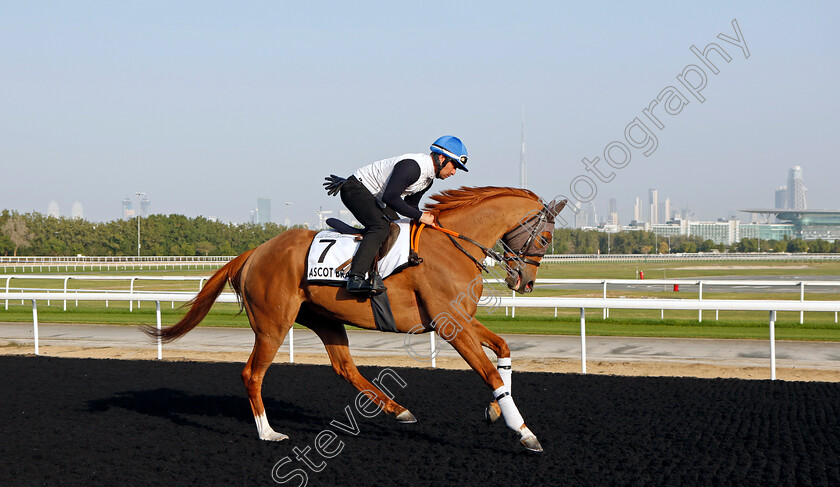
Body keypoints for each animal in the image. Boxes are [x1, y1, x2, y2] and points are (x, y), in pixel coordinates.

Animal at [144, 188, 564, 454]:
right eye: (545, 238)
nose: (525, 283)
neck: (451, 246)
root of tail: (255, 251)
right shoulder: (451, 325)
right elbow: (489, 372)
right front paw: (524, 432)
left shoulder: (460, 318)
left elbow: (503, 350)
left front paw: (496, 410)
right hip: (273, 325)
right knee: (252, 374)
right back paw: (269, 433)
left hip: (326, 319)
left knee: (344, 367)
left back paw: (399, 410)